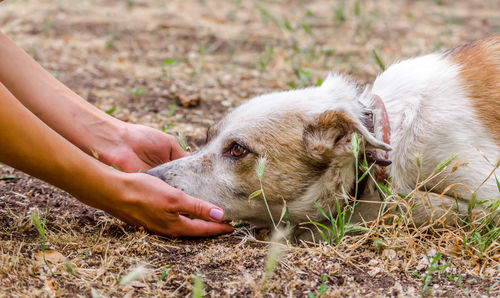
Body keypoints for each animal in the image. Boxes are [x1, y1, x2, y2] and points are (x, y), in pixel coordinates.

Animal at [147, 35, 500, 240]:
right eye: (207, 137)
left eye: (237, 150)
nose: (150, 177)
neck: (387, 133)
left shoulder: (488, 197)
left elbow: (405, 205)